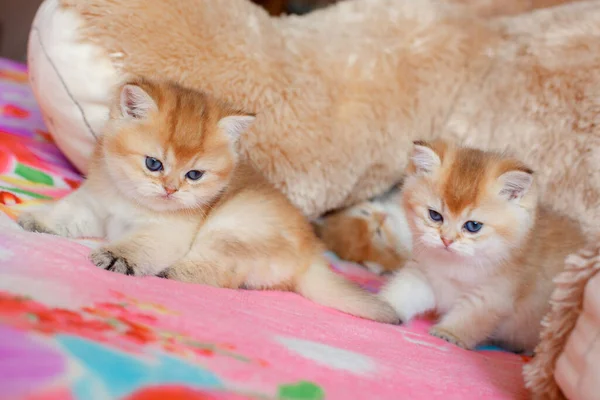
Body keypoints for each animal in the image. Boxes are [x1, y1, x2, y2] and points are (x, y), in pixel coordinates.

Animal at [18, 78, 400, 324]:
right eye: (153, 164)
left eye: (194, 175)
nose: (171, 190)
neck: (132, 202)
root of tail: (312, 257)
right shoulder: (95, 203)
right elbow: (65, 213)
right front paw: (35, 219)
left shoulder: (165, 234)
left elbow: (138, 246)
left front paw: (116, 257)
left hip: (230, 231)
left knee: (224, 274)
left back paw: (170, 273)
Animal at [380, 139, 584, 352]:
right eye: (435, 215)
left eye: (473, 226)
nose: (446, 240)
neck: (454, 265)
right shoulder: (423, 273)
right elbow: (404, 290)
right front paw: (383, 307)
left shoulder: (490, 296)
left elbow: (468, 320)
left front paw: (447, 334)